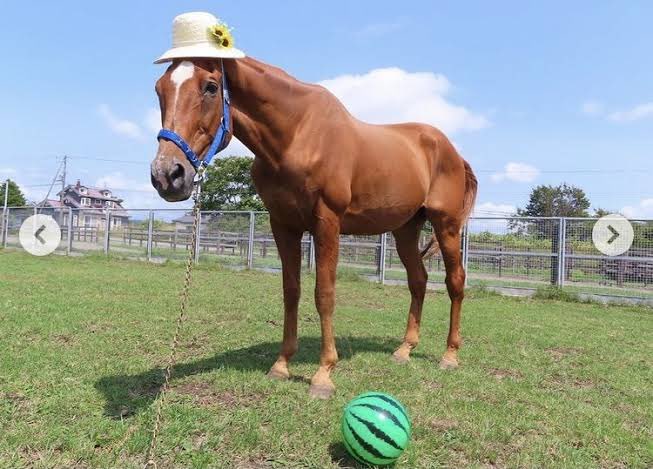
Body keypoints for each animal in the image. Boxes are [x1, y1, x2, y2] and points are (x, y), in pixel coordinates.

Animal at [150, 57, 477, 399]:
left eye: (211, 87)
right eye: (159, 89)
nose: (167, 175)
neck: (296, 134)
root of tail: (452, 151)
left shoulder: (327, 222)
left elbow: (325, 294)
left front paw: (323, 375)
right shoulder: (283, 225)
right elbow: (291, 292)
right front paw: (281, 365)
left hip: (446, 225)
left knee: (455, 282)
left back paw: (449, 356)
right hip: (405, 230)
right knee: (418, 281)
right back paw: (404, 350)